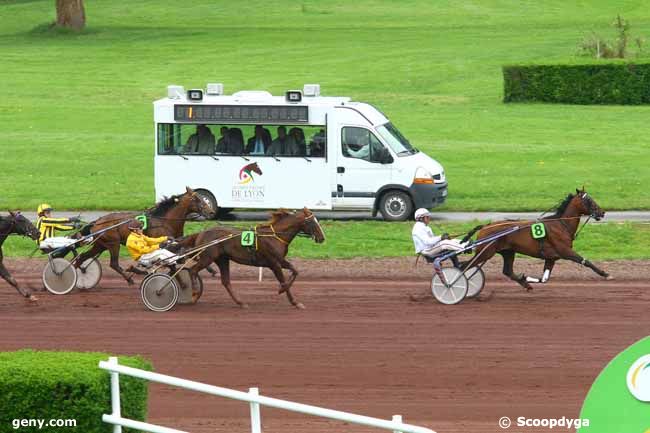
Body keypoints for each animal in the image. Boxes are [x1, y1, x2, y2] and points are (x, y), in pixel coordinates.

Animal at [75, 185, 208, 284]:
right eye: (197, 199)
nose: (210, 211)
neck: (165, 220)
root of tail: (97, 221)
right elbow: (172, 263)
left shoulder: (177, 243)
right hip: (113, 243)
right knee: (113, 264)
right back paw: (129, 278)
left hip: (100, 244)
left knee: (82, 257)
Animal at [182, 208, 324, 308]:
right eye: (312, 222)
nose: (322, 238)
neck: (274, 236)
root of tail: (201, 233)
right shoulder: (274, 263)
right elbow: (283, 280)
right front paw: (292, 299)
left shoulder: (280, 260)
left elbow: (295, 270)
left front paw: (284, 291)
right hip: (208, 257)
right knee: (193, 270)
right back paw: (194, 292)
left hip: (222, 259)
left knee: (226, 281)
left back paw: (241, 303)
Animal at [460, 187, 608, 288]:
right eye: (589, 200)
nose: (602, 212)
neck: (561, 224)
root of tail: (485, 226)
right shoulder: (565, 251)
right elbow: (585, 261)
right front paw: (605, 274)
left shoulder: (551, 257)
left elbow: (544, 279)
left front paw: (525, 278)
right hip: (486, 252)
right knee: (464, 266)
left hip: (508, 252)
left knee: (507, 271)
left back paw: (525, 285)